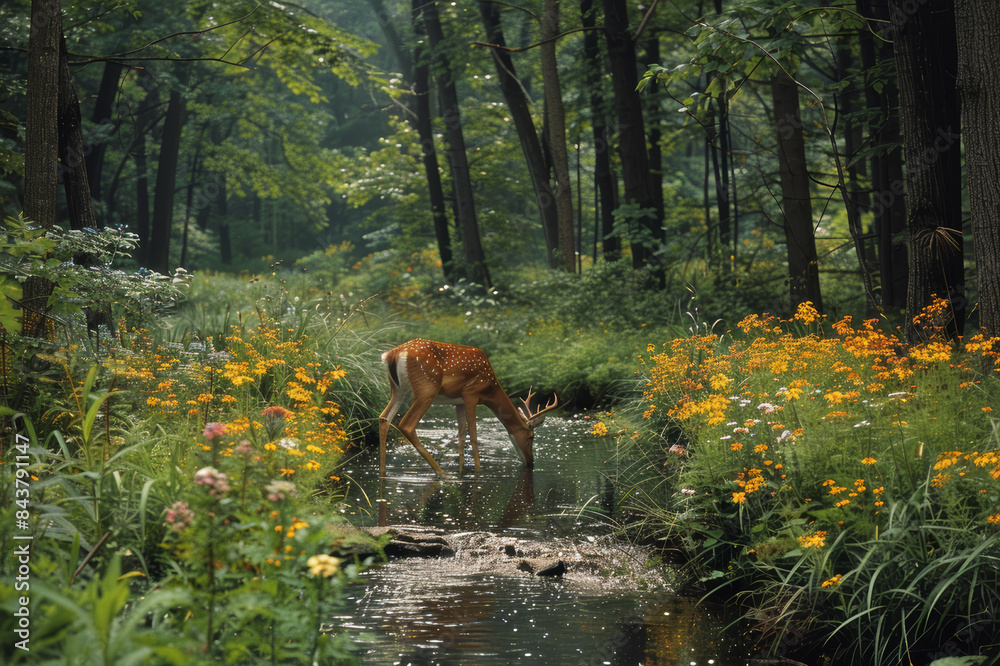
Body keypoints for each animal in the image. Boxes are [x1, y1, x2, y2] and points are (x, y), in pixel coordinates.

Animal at [378, 339, 559, 477]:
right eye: (531, 437)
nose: (531, 462)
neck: (490, 388)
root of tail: (393, 354)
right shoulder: (471, 393)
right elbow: (473, 435)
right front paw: (478, 472)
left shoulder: (459, 402)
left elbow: (461, 437)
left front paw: (461, 473)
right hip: (427, 388)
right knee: (406, 425)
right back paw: (442, 474)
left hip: (398, 391)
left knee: (384, 418)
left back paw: (383, 472)